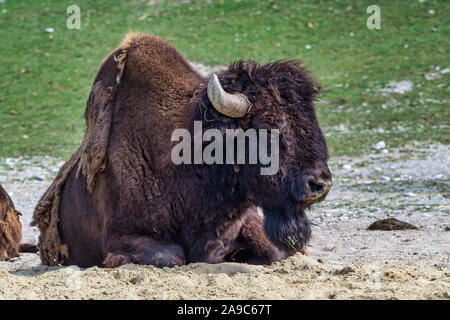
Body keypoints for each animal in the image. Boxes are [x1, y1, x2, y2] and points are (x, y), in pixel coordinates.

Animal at [31, 32, 332, 268]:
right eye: (268, 125)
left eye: (312, 117)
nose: (320, 184)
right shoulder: (120, 234)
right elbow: (172, 256)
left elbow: (272, 250)